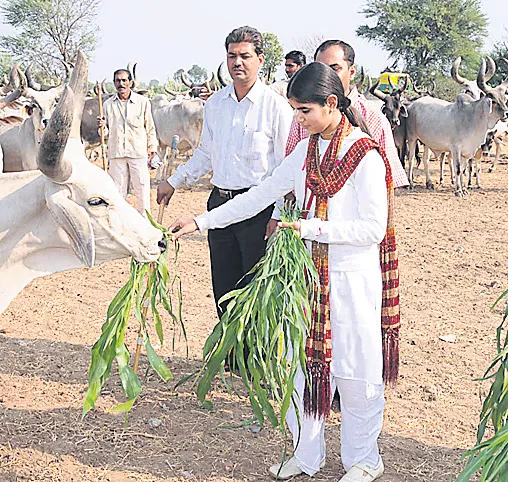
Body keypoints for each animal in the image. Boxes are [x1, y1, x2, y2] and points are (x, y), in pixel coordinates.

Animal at [404, 59, 508, 195]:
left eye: (504, 99)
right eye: (494, 101)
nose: (506, 114)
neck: (472, 118)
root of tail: (412, 105)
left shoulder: (466, 151)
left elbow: (463, 169)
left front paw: (464, 189)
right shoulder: (455, 148)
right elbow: (458, 169)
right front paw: (458, 190)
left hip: (426, 142)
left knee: (425, 159)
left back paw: (429, 183)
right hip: (412, 138)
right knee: (411, 159)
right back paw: (410, 183)